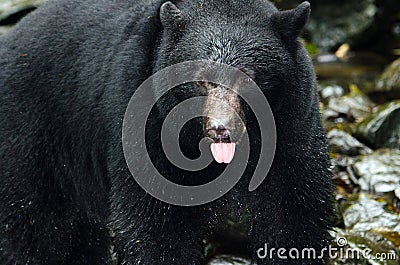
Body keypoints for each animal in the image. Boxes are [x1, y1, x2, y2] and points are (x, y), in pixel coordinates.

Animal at [0, 0, 332, 262]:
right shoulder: (146, 118)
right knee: (34, 225)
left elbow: (293, 206)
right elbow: (155, 220)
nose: (221, 130)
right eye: (201, 80)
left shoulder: (291, 121)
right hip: (31, 135)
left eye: (247, 77)